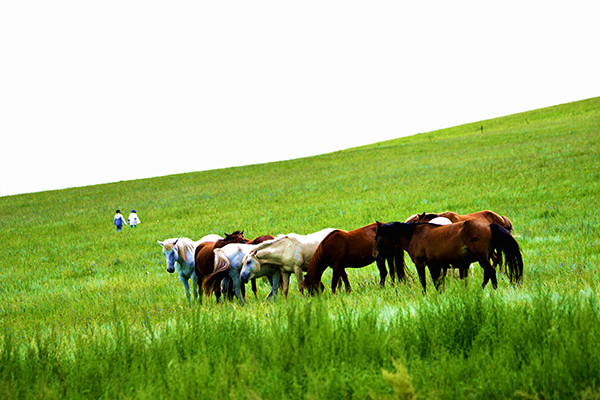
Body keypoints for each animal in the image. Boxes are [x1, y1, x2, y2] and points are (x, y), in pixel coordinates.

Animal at [372, 220, 524, 292]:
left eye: (376, 236)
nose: (375, 254)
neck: (414, 235)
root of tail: (489, 225)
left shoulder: (421, 264)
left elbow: (423, 282)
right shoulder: (434, 265)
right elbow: (437, 282)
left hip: (482, 259)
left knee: (491, 272)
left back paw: (492, 290)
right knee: (488, 273)